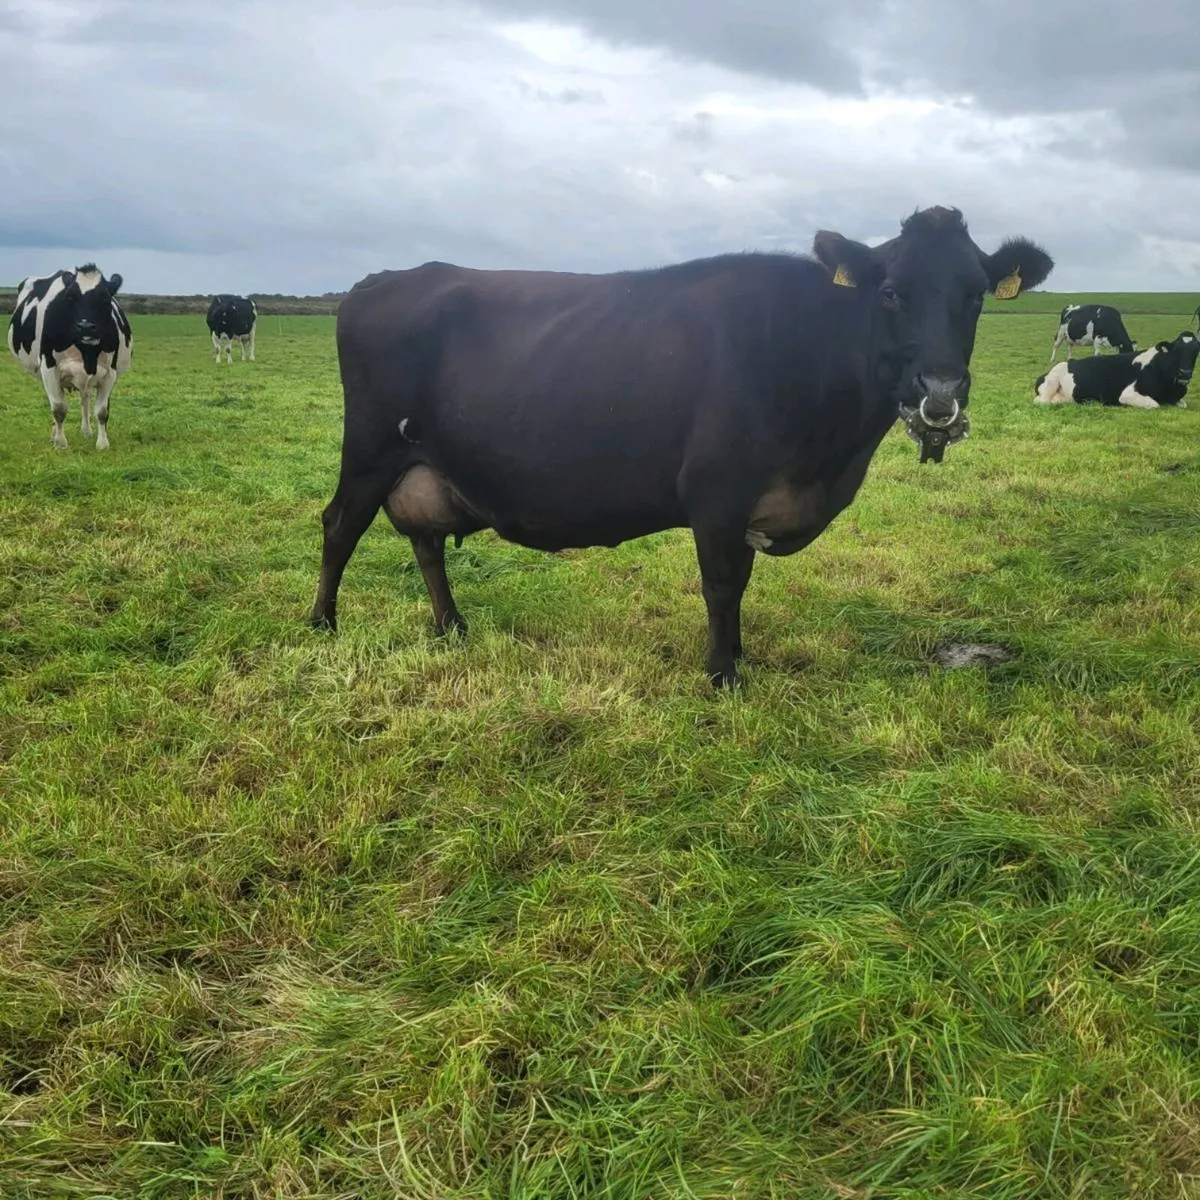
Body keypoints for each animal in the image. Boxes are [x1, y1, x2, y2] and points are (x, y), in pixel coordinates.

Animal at [6, 264, 133, 450]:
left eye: (104, 298)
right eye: (70, 297)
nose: (86, 326)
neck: (87, 352)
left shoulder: (110, 372)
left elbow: (102, 411)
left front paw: (102, 444)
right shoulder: (49, 368)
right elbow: (59, 409)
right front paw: (60, 443)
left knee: (85, 398)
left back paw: (86, 431)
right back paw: (55, 435)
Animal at [309, 205, 1053, 687]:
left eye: (977, 294)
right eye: (892, 291)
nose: (941, 389)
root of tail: (382, 279)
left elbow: (740, 583)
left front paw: (739, 657)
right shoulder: (718, 492)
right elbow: (722, 585)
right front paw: (722, 675)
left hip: (422, 464)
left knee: (425, 541)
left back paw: (451, 626)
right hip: (370, 447)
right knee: (340, 525)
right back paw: (322, 625)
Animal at [1034, 331, 1200, 409]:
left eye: (1196, 351)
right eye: (1176, 351)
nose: (1185, 373)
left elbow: (1182, 404)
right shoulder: (1128, 394)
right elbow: (1155, 404)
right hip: (1051, 383)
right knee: (1041, 401)